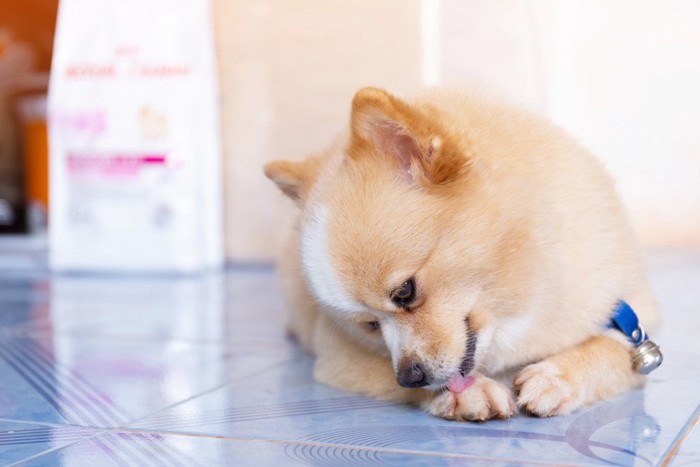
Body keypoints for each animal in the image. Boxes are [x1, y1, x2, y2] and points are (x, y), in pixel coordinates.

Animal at [264, 87, 660, 420]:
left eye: (405, 292)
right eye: (371, 326)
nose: (410, 376)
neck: (516, 303)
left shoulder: (636, 327)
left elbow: (609, 349)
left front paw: (557, 376)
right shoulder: (337, 358)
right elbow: (389, 372)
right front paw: (466, 393)